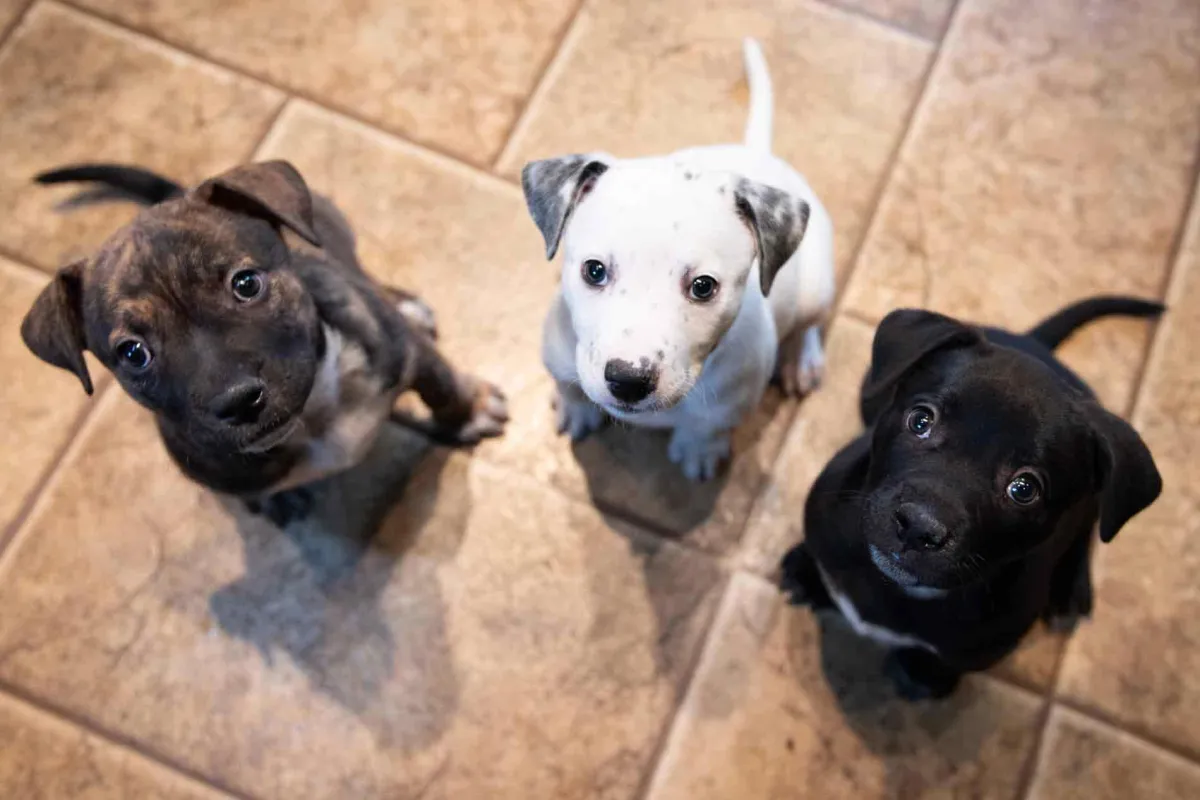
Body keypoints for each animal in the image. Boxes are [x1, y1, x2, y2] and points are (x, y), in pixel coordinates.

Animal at [22, 163, 506, 525]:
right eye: (133, 353)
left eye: (246, 284)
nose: (238, 401)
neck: (314, 415)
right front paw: (274, 499)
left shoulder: (403, 350)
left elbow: (440, 383)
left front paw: (470, 409)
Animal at [516, 38, 835, 482]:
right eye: (593, 270)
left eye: (703, 286)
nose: (628, 380)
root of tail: (756, 154)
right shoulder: (560, 357)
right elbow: (570, 386)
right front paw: (574, 409)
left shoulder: (730, 401)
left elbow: (707, 425)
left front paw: (698, 450)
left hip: (815, 289)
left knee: (810, 324)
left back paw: (801, 361)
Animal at [777, 297, 1161, 695]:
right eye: (920, 420)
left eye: (1024, 489)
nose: (918, 526)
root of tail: (1035, 342)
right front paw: (808, 573)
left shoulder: (984, 645)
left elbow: (947, 663)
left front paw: (924, 676)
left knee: (1089, 525)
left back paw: (1071, 591)